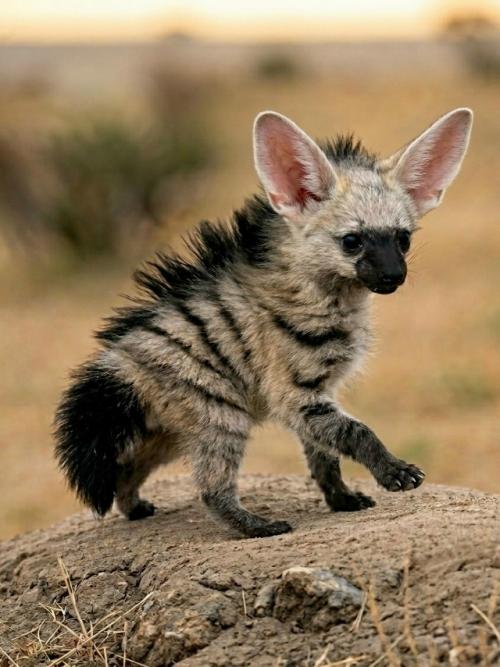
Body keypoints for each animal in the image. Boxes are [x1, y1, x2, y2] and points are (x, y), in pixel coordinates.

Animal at [55, 107, 472, 537]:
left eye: (403, 239)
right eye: (352, 241)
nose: (393, 275)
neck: (331, 299)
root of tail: (122, 359)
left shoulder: (317, 393)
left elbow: (322, 455)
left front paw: (342, 499)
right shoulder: (293, 390)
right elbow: (353, 431)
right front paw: (395, 472)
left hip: (166, 430)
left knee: (129, 467)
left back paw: (135, 507)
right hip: (218, 411)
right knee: (211, 487)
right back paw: (257, 525)